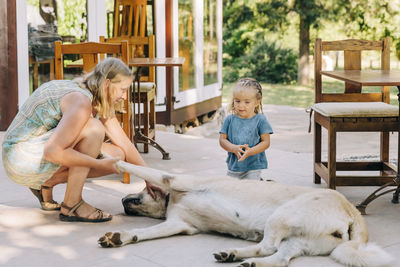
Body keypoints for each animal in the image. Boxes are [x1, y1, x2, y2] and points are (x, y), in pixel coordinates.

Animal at [98, 161, 392, 267]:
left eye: (138, 193)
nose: (122, 201)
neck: (173, 199)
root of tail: (352, 210)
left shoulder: (174, 179)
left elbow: (136, 166)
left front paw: (111, 158)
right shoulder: (178, 224)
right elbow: (143, 233)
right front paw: (122, 237)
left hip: (281, 216)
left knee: (269, 246)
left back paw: (238, 254)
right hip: (300, 240)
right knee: (279, 258)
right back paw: (238, 257)